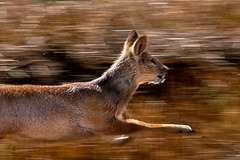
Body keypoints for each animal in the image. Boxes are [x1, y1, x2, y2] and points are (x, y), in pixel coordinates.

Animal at [0, 30, 195, 142]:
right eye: (152, 60)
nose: (167, 70)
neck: (110, 96)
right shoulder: (101, 121)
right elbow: (142, 125)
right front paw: (185, 128)